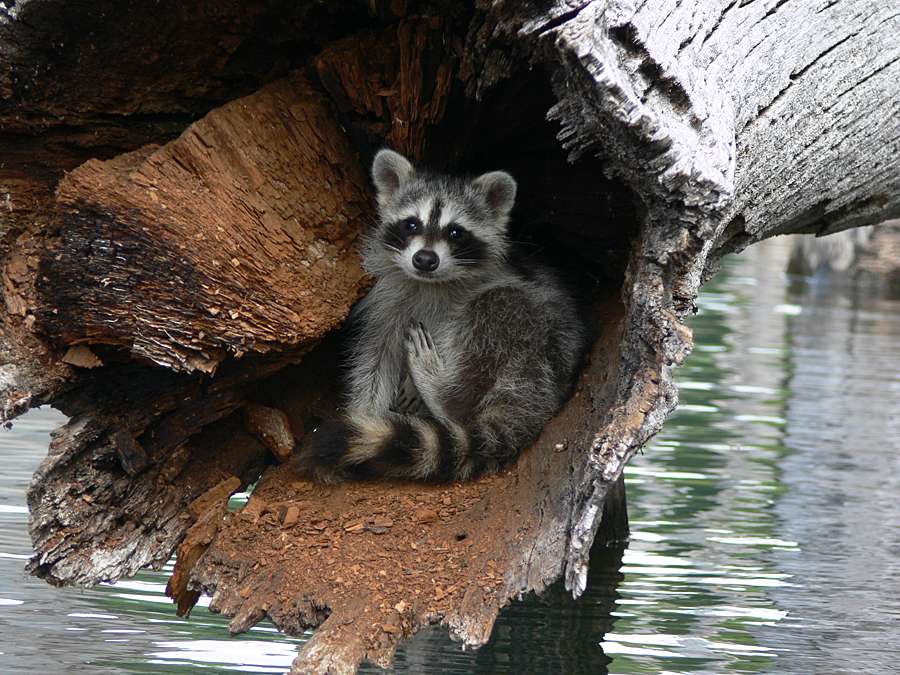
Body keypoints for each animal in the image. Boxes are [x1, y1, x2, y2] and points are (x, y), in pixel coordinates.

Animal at [299, 149, 589, 483]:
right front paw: (365, 411)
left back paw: (444, 392)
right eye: (411, 224)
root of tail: (541, 393)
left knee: (497, 306)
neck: (429, 282)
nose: (425, 259)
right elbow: (375, 360)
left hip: (537, 341)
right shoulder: (387, 305)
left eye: (455, 232)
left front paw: (415, 389)